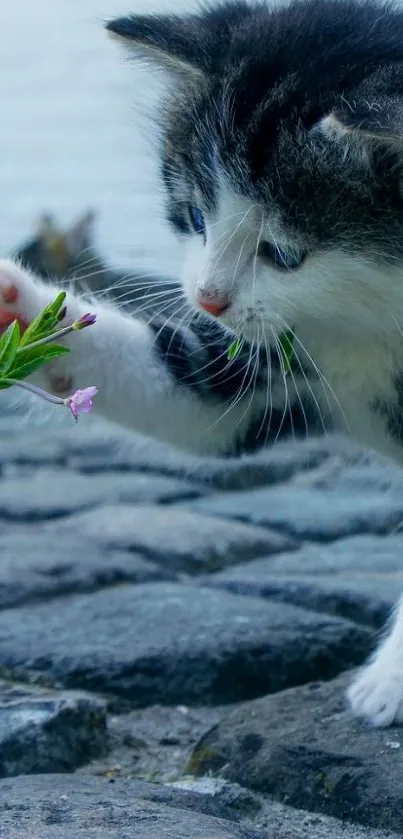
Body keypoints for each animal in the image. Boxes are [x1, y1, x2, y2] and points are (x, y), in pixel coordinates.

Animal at [2, 0, 403, 724]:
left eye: (284, 254)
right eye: (192, 215)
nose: (207, 299)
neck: (374, 324)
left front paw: (390, 679)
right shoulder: (279, 352)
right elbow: (196, 402)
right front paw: (14, 302)